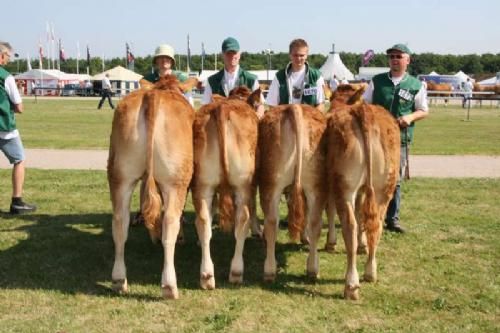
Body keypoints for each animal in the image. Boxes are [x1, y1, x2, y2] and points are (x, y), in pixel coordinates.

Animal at [108, 74, 197, 298]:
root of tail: (153, 96)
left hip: (120, 175)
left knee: (120, 223)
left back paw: (119, 281)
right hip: (176, 180)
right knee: (170, 221)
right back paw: (169, 286)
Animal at [191, 85, 262, 288]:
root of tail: (222, 108)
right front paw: (257, 230)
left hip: (203, 184)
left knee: (203, 221)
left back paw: (206, 276)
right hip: (242, 183)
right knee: (242, 219)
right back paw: (236, 271)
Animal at [326, 85, 400, 298]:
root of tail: (363, 111)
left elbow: (332, 210)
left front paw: (331, 243)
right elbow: (361, 216)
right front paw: (363, 245)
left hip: (345, 186)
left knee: (350, 225)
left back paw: (351, 284)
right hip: (384, 187)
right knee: (377, 224)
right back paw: (370, 272)